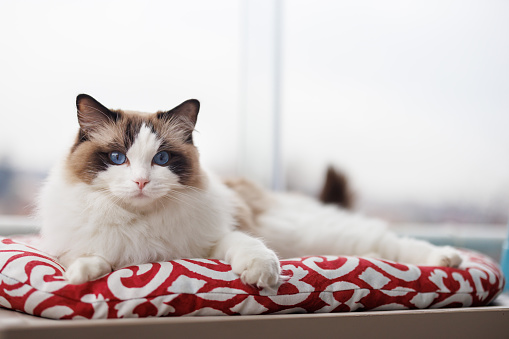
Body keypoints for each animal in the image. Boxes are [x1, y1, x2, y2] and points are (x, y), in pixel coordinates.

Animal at [37, 94, 462, 288]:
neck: (141, 222)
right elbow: (92, 259)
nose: (141, 182)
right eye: (117, 157)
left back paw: (448, 259)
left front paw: (262, 274)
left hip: (321, 233)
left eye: (161, 159)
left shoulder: (213, 241)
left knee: (395, 243)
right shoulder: (93, 246)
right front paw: (79, 276)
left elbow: (246, 246)